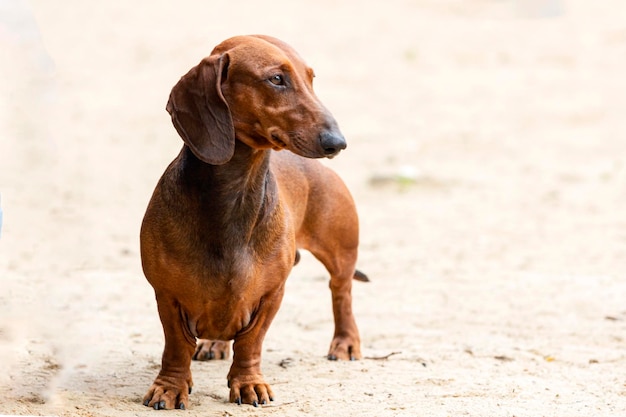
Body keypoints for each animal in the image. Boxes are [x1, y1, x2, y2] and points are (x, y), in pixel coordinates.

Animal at [140, 33, 366, 410]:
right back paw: (214, 343)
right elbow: (176, 347)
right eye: (276, 79)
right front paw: (169, 387)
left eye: (311, 78)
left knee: (342, 292)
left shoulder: (272, 294)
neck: (234, 196)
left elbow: (250, 343)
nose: (338, 143)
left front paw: (249, 384)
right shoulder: (167, 294)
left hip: (340, 252)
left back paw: (346, 342)